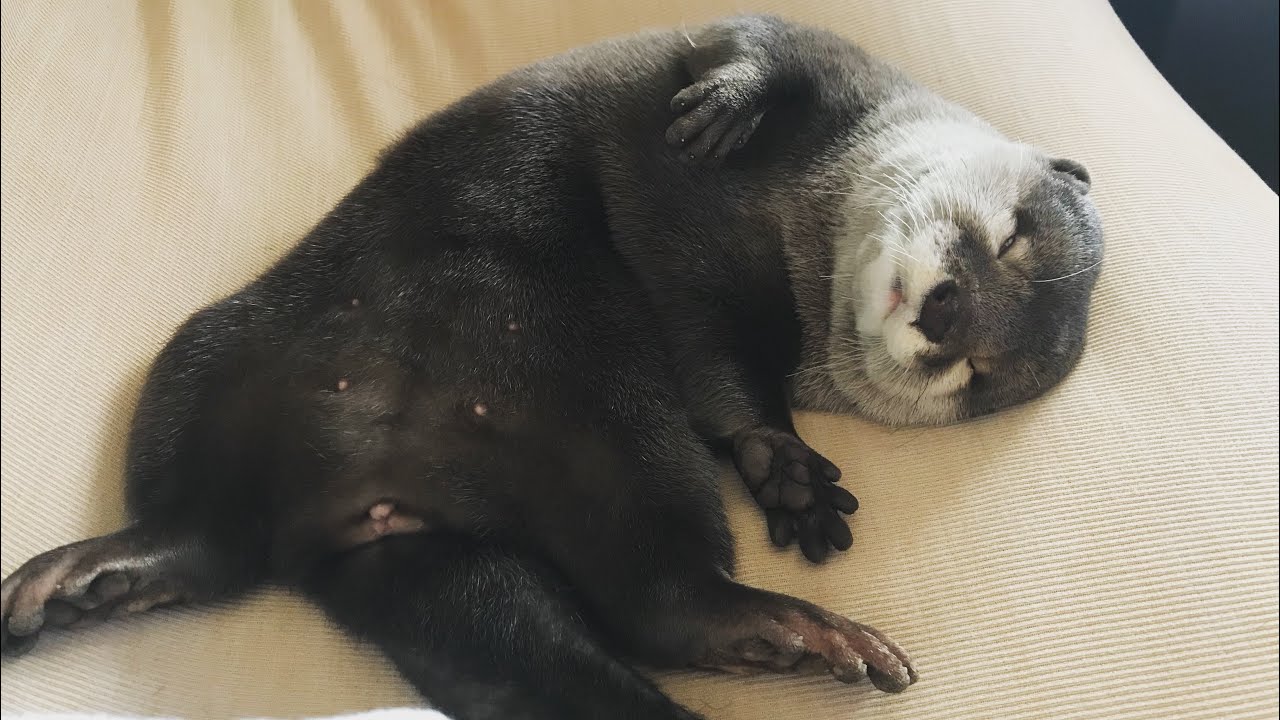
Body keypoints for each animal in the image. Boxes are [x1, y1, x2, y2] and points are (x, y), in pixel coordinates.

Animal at [0, 15, 1102, 720]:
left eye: (978, 373)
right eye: (1011, 237)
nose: (948, 317)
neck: (800, 221)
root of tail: (368, 494)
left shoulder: (747, 331)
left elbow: (722, 374)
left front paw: (786, 472)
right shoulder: (825, 63)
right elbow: (750, 48)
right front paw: (726, 104)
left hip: (621, 443)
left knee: (649, 601)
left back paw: (791, 632)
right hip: (207, 359)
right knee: (217, 528)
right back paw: (96, 576)